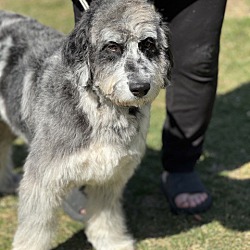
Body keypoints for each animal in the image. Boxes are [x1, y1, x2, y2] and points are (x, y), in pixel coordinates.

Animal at [0, 0, 172, 250]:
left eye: (148, 44)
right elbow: (35, 230)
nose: (140, 87)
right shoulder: (42, 179)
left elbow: (105, 219)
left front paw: (112, 243)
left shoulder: (109, 178)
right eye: (112, 47)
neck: (99, 109)